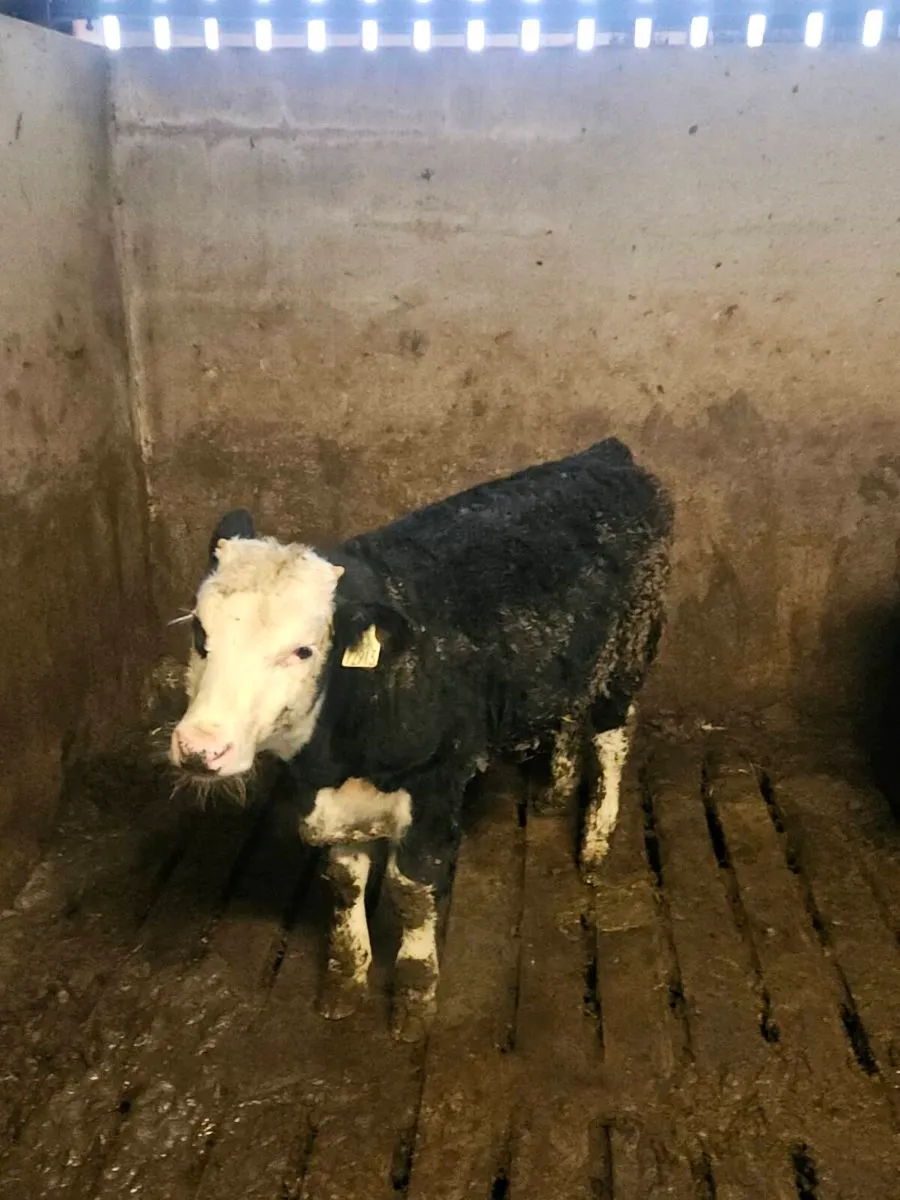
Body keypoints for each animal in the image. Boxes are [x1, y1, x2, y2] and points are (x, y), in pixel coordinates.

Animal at [169, 438, 674, 1040]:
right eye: (200, 633)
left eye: (303, 650)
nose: (201, 748)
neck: (335, 753)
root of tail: (607, 454)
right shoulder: (331, 799)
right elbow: (344, 882)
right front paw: (344, 985)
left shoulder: (435, 784)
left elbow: (413, 890)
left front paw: (413, 1002)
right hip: (572, 658)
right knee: (572, 713)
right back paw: (555, 793)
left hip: (632, 647)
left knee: (612, 738)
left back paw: (595, 842)